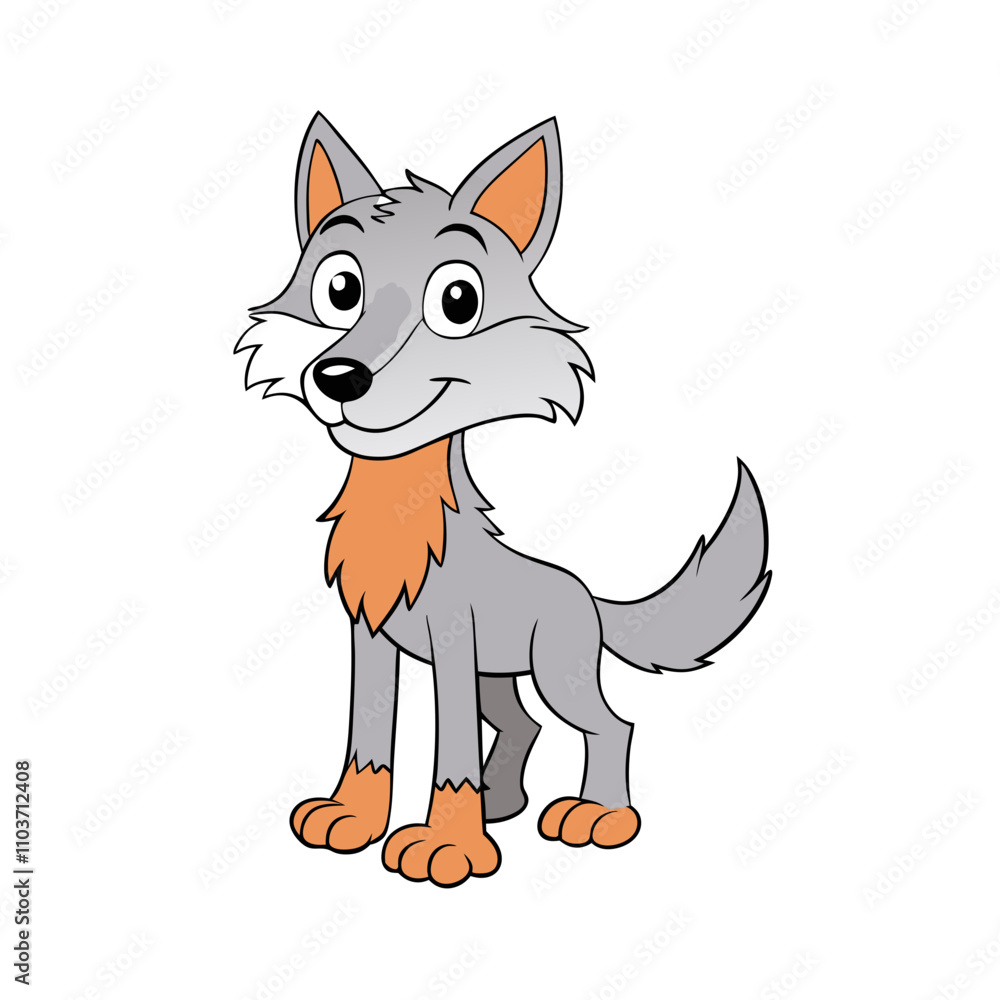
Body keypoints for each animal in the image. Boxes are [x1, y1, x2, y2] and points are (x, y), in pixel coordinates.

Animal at [236, 113, 771, 887]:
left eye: (457, 301)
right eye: (341, 289)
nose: (339, 376)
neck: (401, 522)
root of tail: (586, 594)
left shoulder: (453, 645)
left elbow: (450, 753)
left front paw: (449, 848)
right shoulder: (370, 635)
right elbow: (367, 739)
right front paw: (354, 819)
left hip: (553, 671)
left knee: (610, 725)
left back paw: (598, 817)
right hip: (503, 677)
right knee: (525, 725)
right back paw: (505, 800)